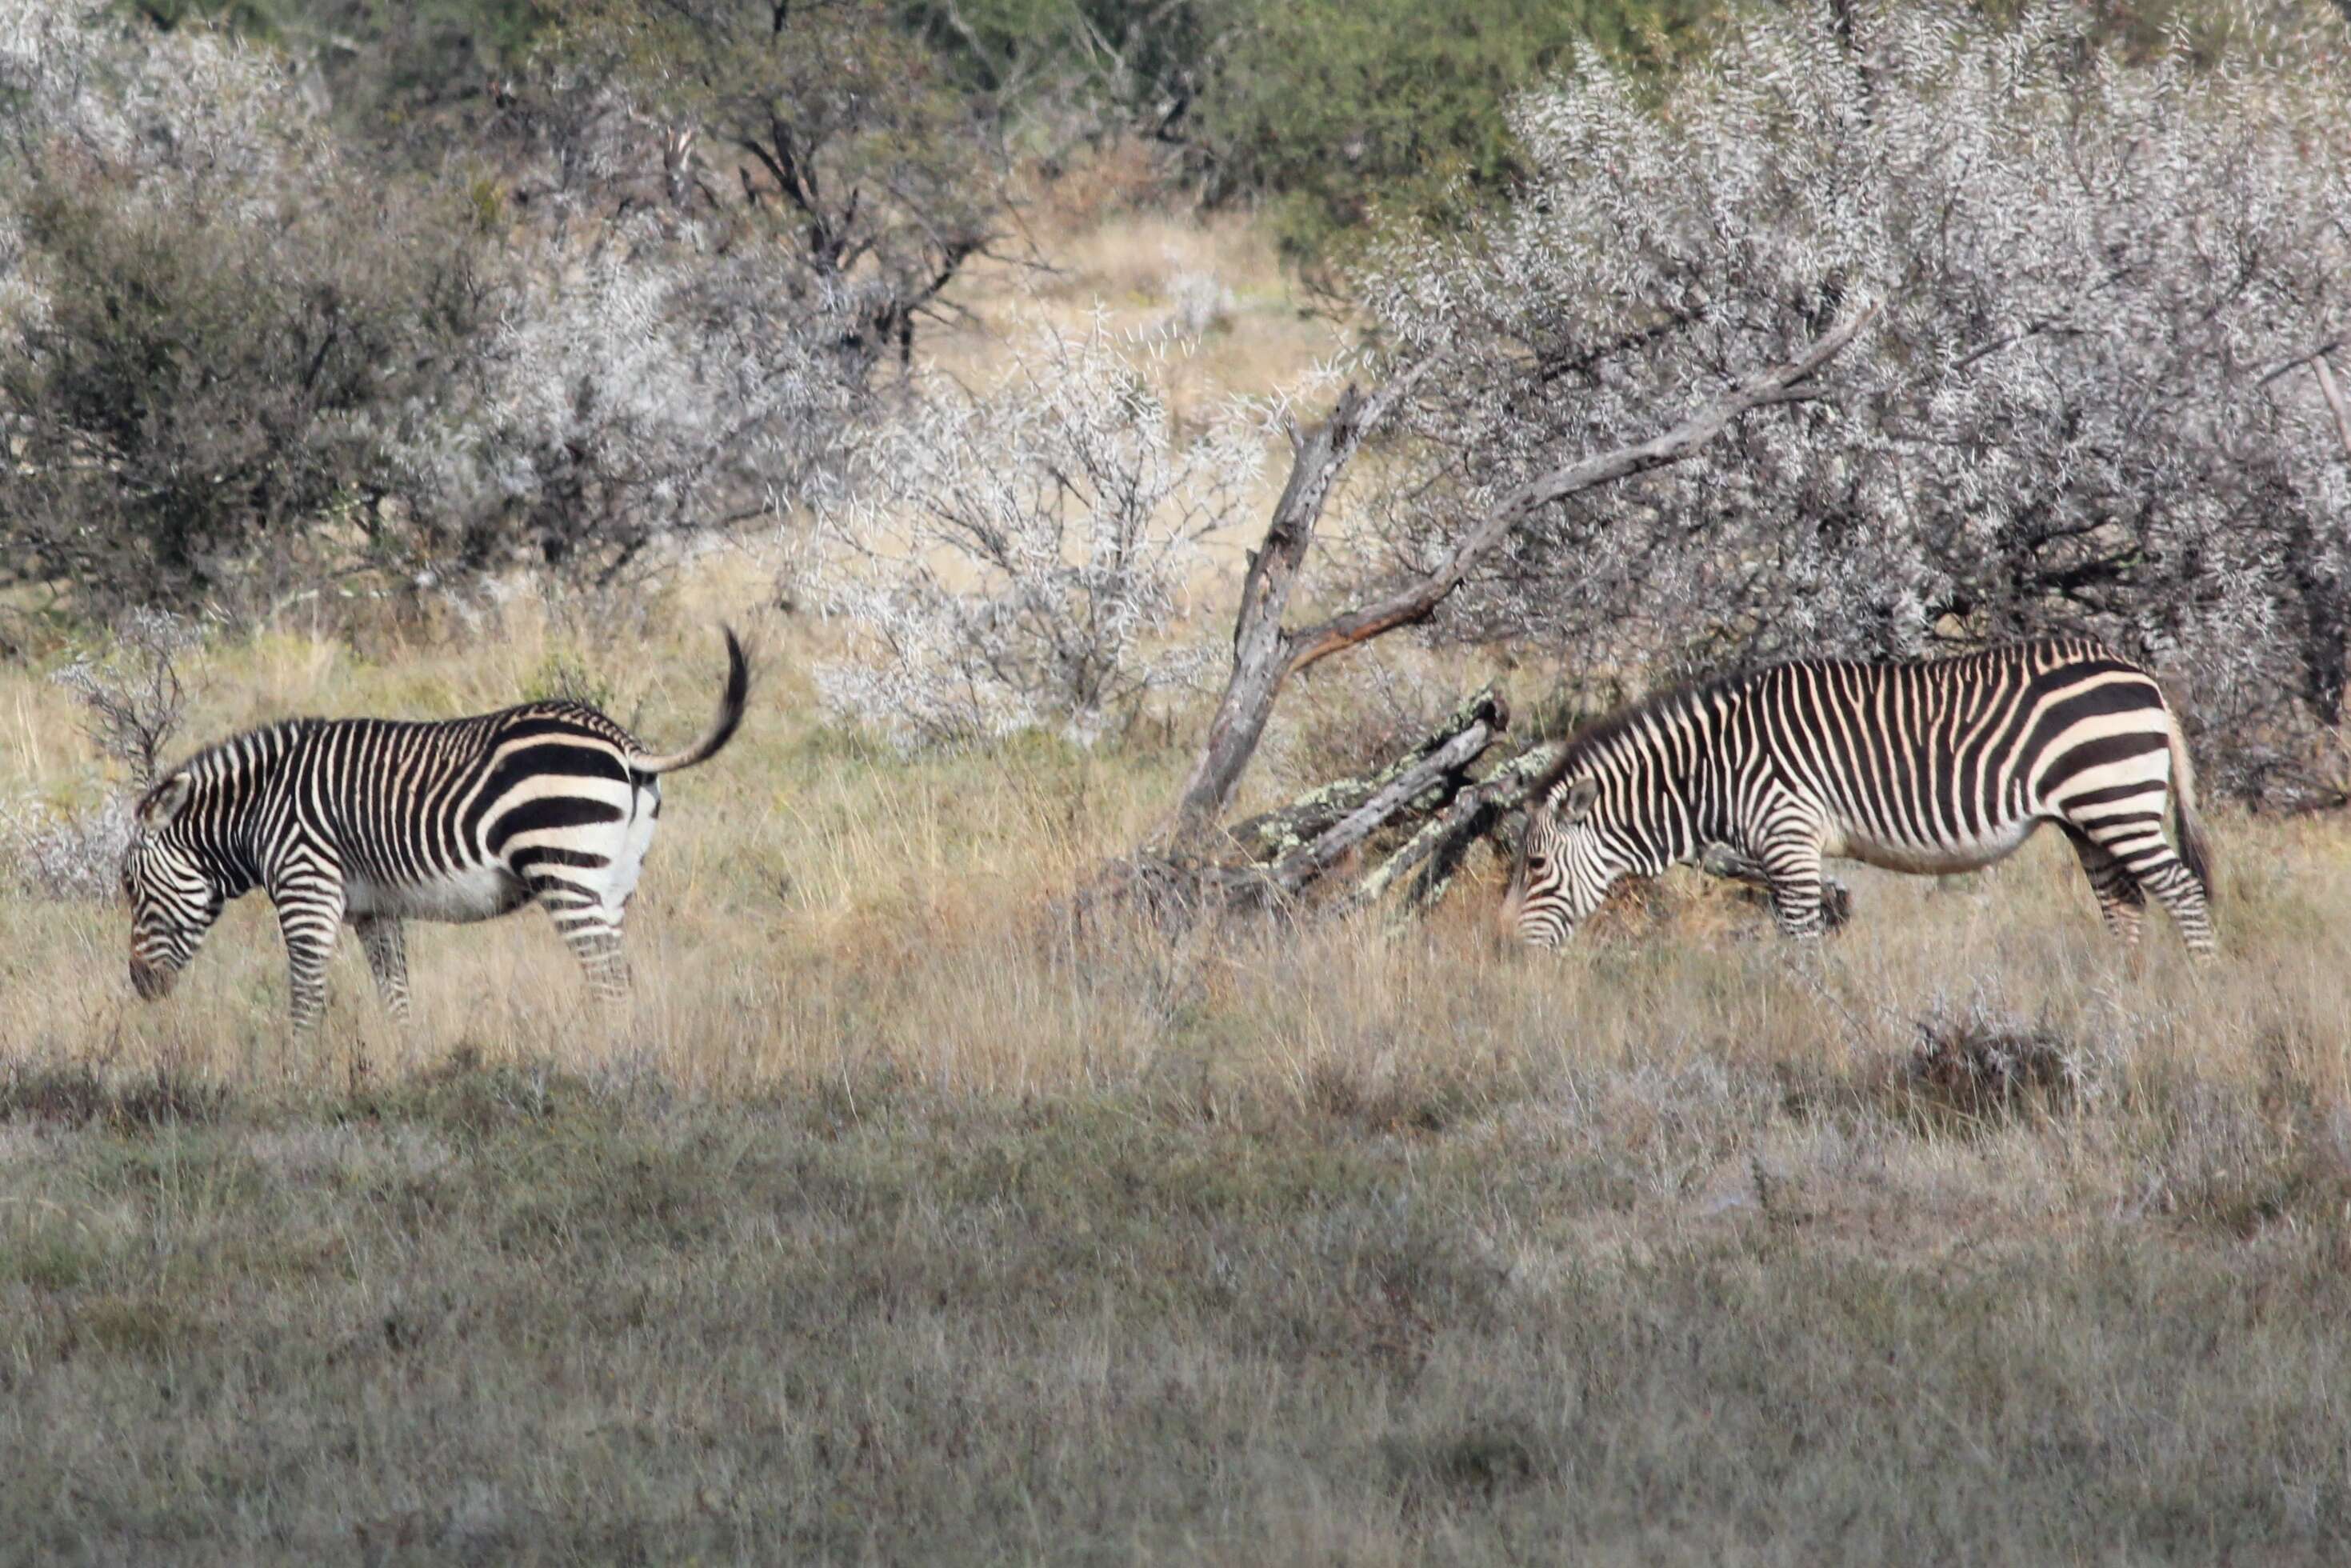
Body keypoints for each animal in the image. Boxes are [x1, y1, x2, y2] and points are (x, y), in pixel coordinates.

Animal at [119, 625, 747, 1030]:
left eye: (129, 886)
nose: (139, 986)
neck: (258, 810)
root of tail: (623, 743)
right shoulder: (373, 909)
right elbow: (394, 995)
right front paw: (402, 1064)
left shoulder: (307, 892)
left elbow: (305, 999)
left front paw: (299, 1072)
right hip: (613, 881)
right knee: (620, 976)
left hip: (565, 871)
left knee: (608, 982)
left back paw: (608, 1061)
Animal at [1504, 639, 2219, 958]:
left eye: (1535, 866)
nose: (1508, 951)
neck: (1715, 766)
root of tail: (2141, 675)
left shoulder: (1788, 837)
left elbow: (1800, 943)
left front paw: (1809, 1021)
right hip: (2087, 819)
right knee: (2123, 905)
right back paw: (2117, 992)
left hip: (2115, 801)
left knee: (2181, 892)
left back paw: (2193, 982)